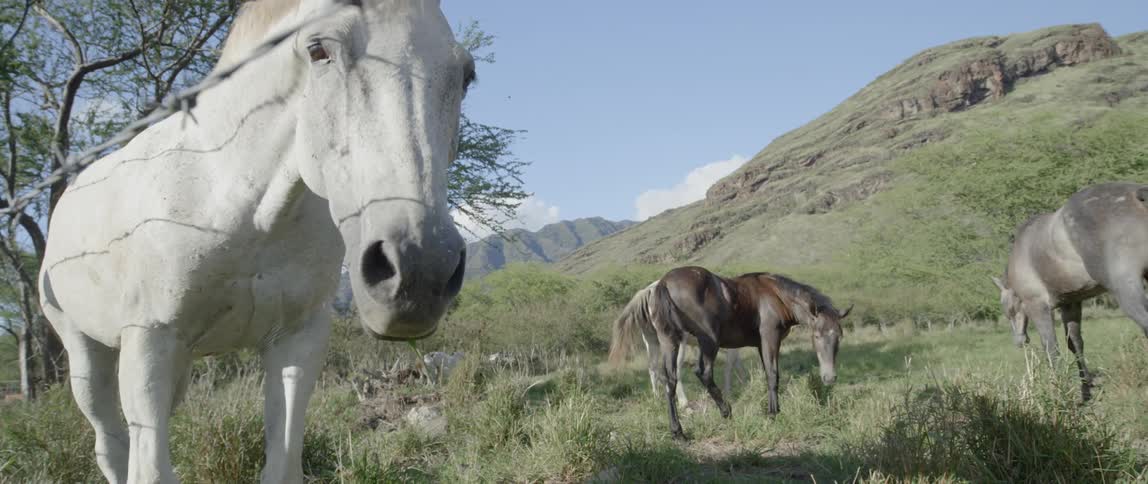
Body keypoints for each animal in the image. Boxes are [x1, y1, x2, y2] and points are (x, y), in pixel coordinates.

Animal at [37, 1, 472, 482]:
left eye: (466, 74)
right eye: (318, 50)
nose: (419, 269)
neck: (234, 201)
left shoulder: (297, 340)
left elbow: (281, 463)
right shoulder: (150, 339)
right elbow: (148, 468)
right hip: (86, 355)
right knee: (110, 444)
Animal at [609, 281, 747, 407]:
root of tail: (649, 291)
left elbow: (738, 365)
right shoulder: (731, 349)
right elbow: (729, 367)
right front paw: (729, 393)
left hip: (651, 341)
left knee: (652, 368)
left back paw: (657, 397)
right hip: (677, 344)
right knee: (675, 372)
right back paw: (684, 403)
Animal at [991, 181, 1148, 402]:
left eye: (1010, 311)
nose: (1019, 341)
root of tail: (1138, 195)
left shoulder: (1037, 306)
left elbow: (1051, 349)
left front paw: (1057, 393)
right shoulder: (1070, 304)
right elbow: (1075, 343)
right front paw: (1086, 388)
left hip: (1127, 291)